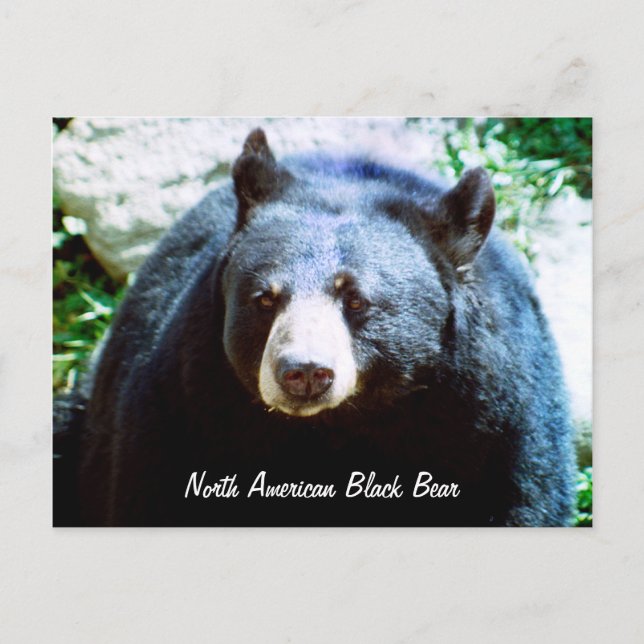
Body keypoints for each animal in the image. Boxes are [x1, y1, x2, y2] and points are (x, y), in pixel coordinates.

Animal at [53, 128, 576, 527]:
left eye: (357, 300)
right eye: (265, 298)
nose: (304, 372)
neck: (338, 426)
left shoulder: (496, 423)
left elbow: (523, 498)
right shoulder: (183, 404)